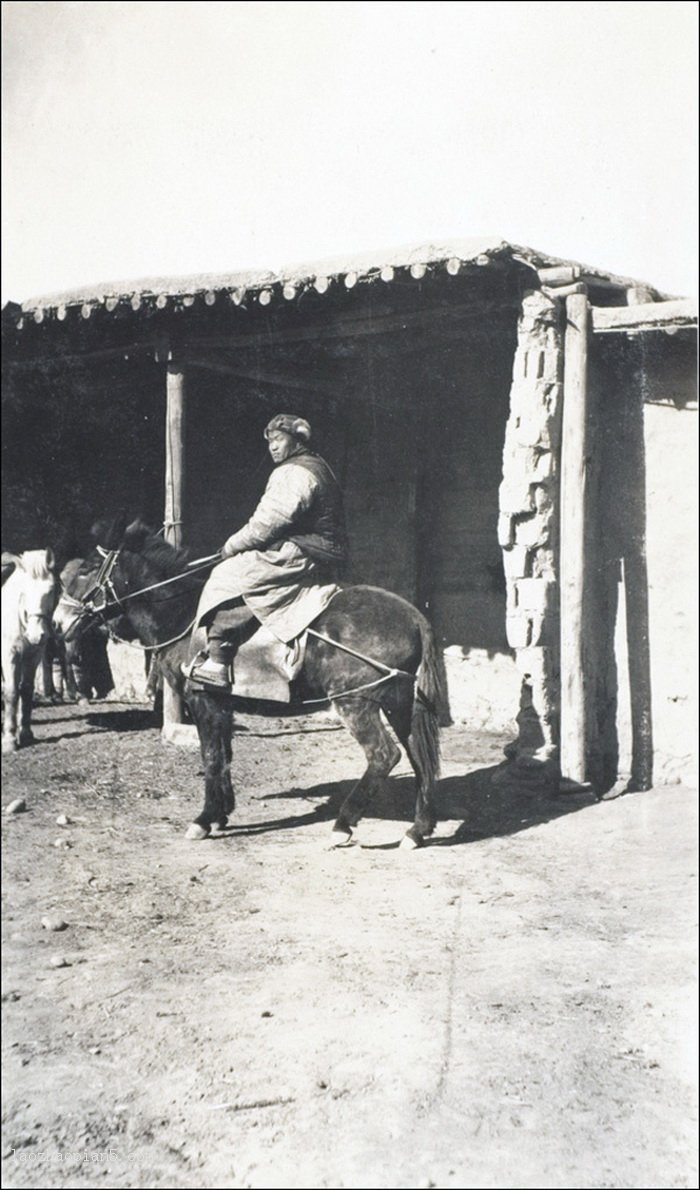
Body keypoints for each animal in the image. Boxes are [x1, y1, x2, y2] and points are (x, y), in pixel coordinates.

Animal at [2, 549, 57, 752]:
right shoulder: (9, 656)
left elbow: (26, 690)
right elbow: (11, 693)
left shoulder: (32, 657)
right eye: (24, 592)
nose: (36, 635)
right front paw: (9, 739)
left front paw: (25, 733)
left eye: (50, 590)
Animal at [54, 518, 447, 847]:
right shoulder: (222, 706)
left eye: (87, 569)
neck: (184, 615)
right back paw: (418, 830)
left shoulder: (203, 702)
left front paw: (204, 819)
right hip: (399, 702)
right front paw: (221, 814)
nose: (57, 624)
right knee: (419, 756)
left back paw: (343, 825)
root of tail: (414, 615)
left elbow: (211, 757)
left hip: (356, 703)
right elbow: (225, 755)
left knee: (384, 755)